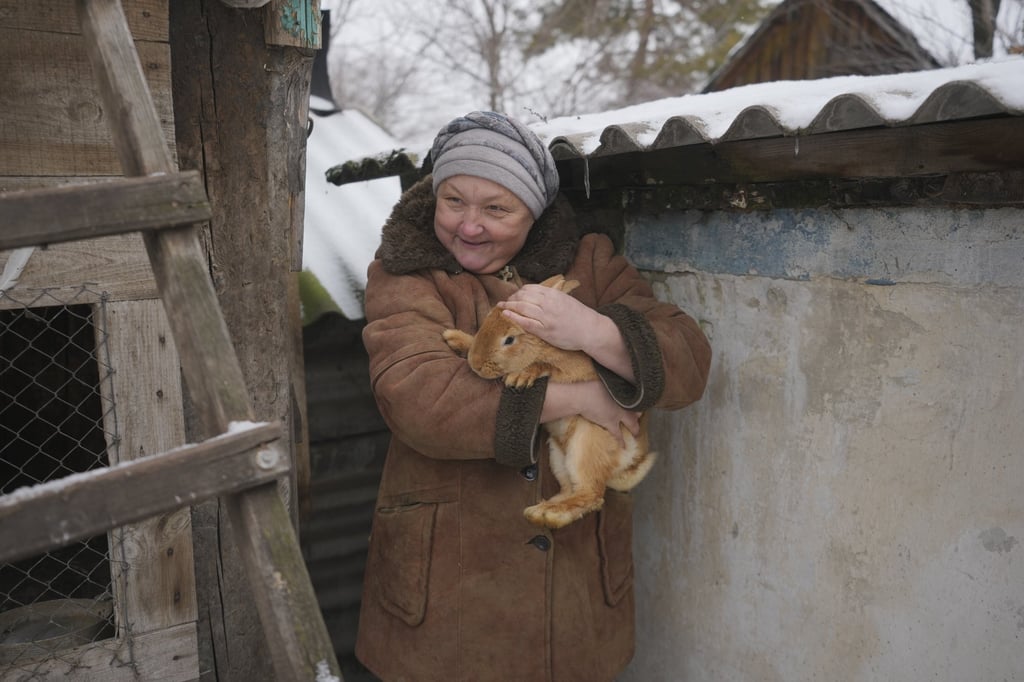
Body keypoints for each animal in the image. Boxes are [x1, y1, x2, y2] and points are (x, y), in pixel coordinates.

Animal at [443, 274, 655, 529]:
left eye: (509, 339)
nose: (475, 364)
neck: (542, 345)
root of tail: (631, 460)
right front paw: (454, 337)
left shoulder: (578, 367)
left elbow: (545, 365)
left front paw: (520, 376)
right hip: (558, 454)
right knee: (570, 490)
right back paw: (543, 509)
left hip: (586, 444)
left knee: (591, 494)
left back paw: (548, 514)